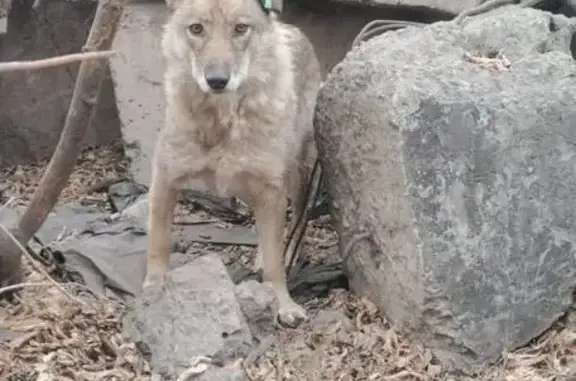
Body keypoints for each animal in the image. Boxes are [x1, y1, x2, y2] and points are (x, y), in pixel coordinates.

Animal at [142, 0, 322, 326]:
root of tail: (292, 28)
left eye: (240, 29)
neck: (222, 119)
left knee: (295, 223)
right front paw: (154, 287)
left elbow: (276, 263)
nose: (216, 81)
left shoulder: (270, 192)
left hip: (295, 176)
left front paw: (282, 303)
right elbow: (157, 243)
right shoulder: (165, 179)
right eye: (196, 29)